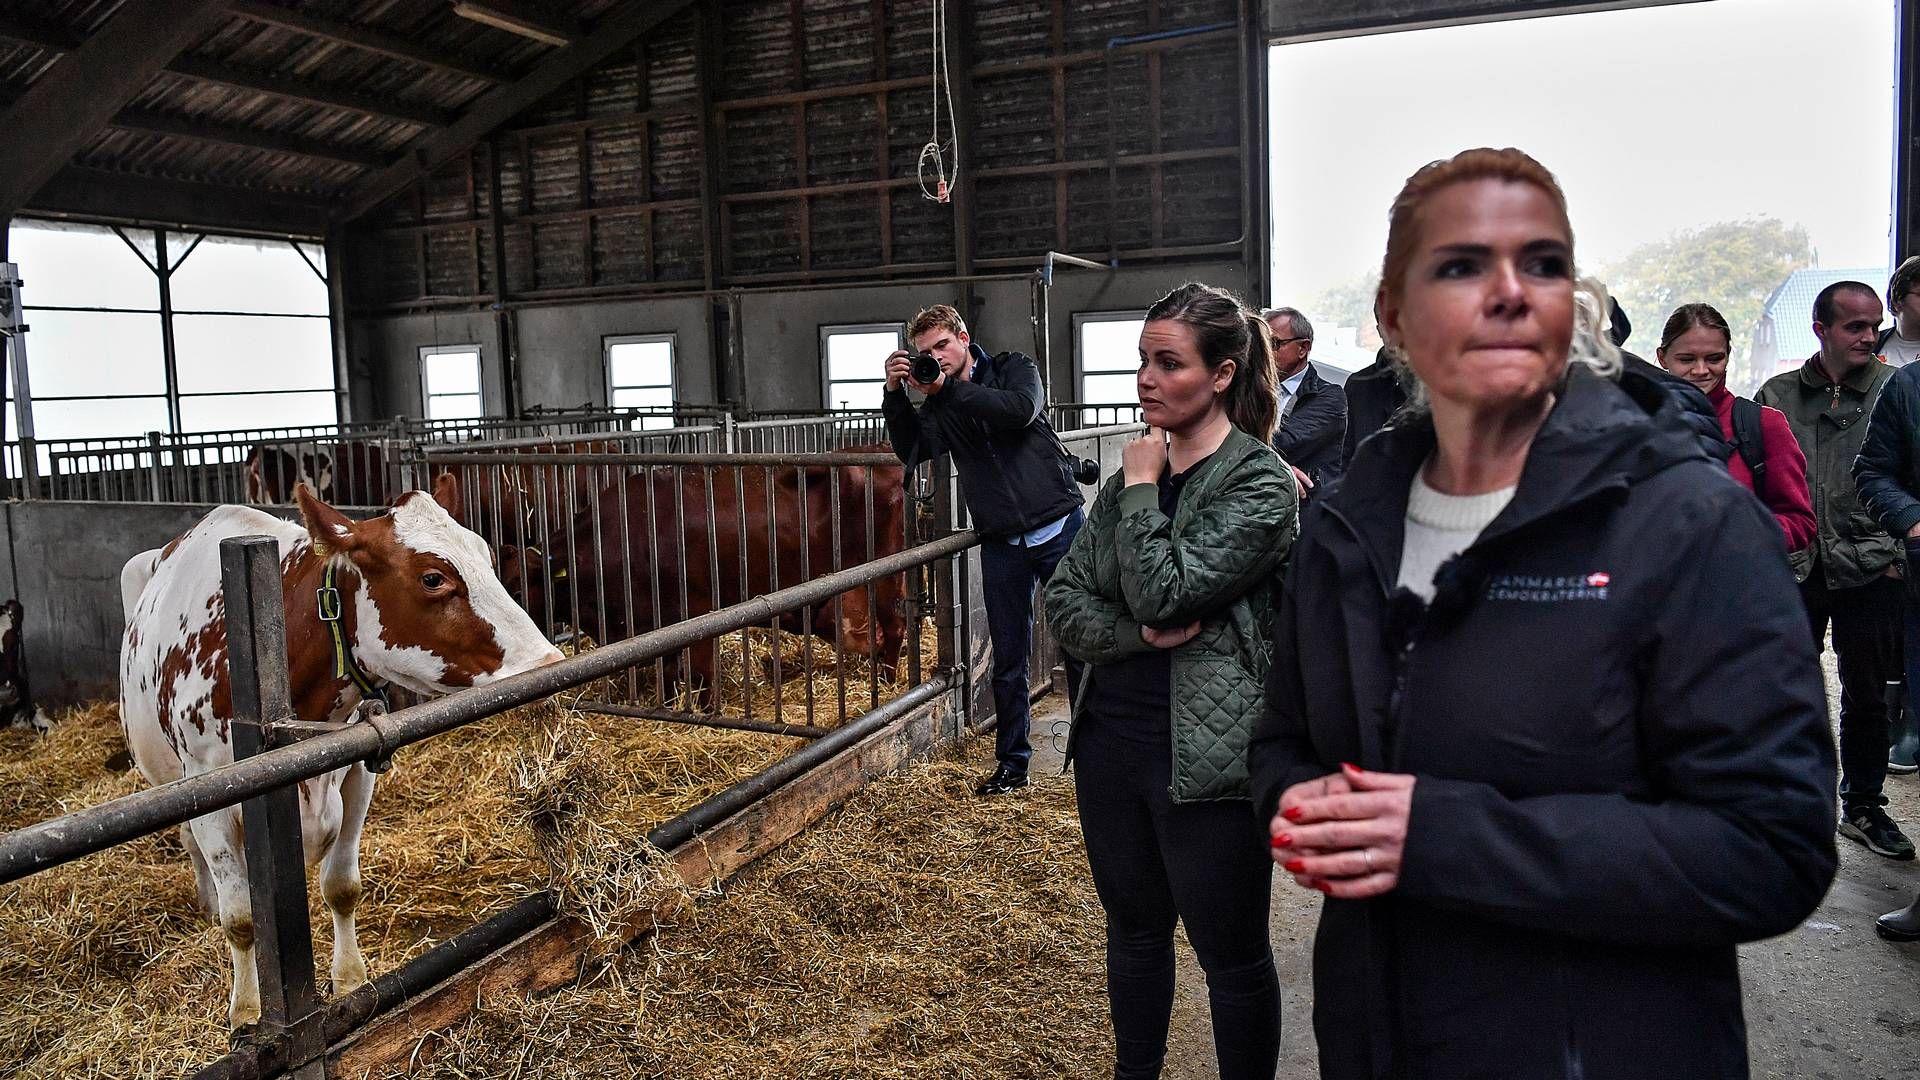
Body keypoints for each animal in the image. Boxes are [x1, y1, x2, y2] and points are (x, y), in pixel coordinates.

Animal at [119, 476, 560, 1022]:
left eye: (486, 555)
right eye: (433, 578)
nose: (550, 662)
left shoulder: (357, 769)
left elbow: (342, 887)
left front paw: (351, 981)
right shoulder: (210, 794)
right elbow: (241, 918)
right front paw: (246, 1012)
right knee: (189, 844)